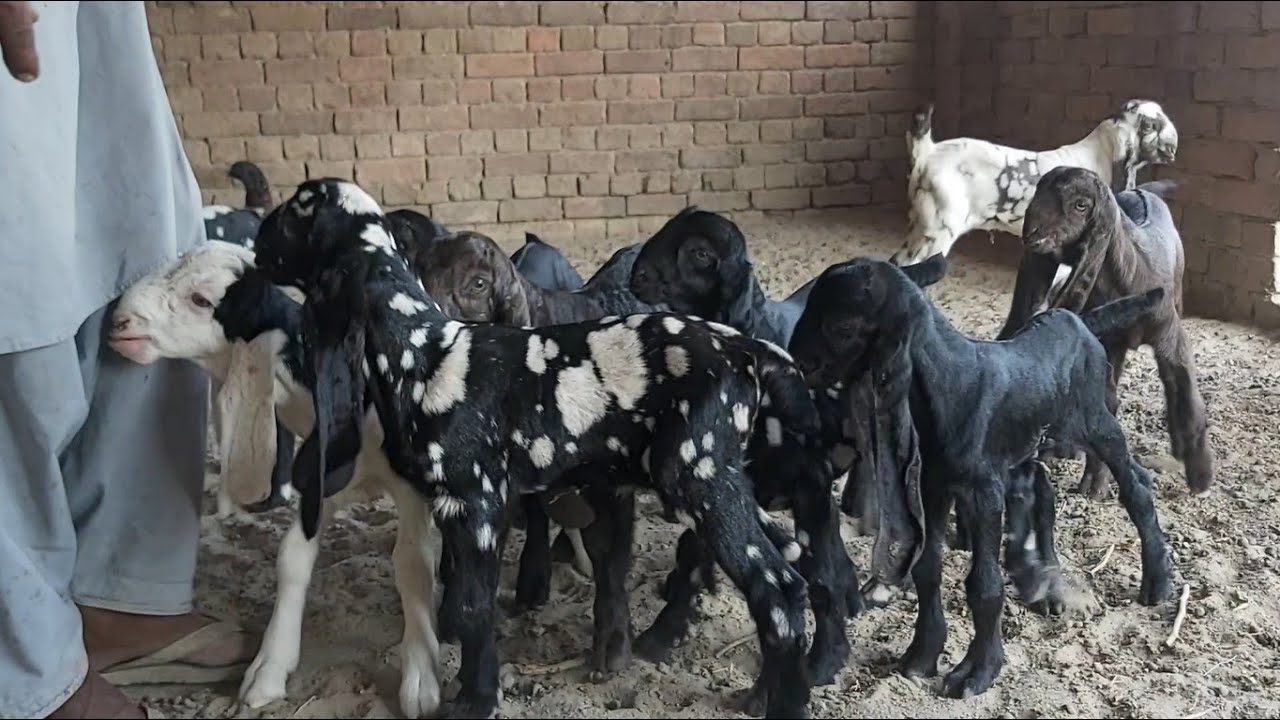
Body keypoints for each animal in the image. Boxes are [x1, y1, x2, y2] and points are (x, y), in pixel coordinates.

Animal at [249, 177, 849, 719]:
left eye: (297, 211)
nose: (256, 238)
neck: (422, 349)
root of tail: (749, 351)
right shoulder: (464, 506)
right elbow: (469, 599)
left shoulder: (476, 499)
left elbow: (472, 606)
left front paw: (474, 701)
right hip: (727, 483)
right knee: (797, 572)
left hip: (699, 476)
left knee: (775, 590)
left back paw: (786, 703)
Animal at [788, 256, 1175, 699]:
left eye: (842, 326)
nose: (797, 364)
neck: (951, 387)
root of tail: (1075, 320)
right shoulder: (935, 486)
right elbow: (927, 568)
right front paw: (922, 654)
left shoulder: (983, 490)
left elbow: (985, 584)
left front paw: (977, 671)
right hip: (1033, 441)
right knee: (1044, 492)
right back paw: (1047, 574)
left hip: (1095, 420)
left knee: (1136, 487)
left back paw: (1157, 583)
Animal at [889, 98, 1179, 267]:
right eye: (1150, 125)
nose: (1173, 145)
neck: (1100, 156)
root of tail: (928, 151)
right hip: (936, 231)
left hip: (920, 229)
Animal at [996, 167, 1214, 499]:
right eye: (1038, 193)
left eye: (1081, 205)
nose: (1032, 235)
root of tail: (1141, 191)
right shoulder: (1102, 342)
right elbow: (1105, 405)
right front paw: (1095, 482)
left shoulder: (1169, 332)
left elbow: (1187, 395)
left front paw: (1200, 476)